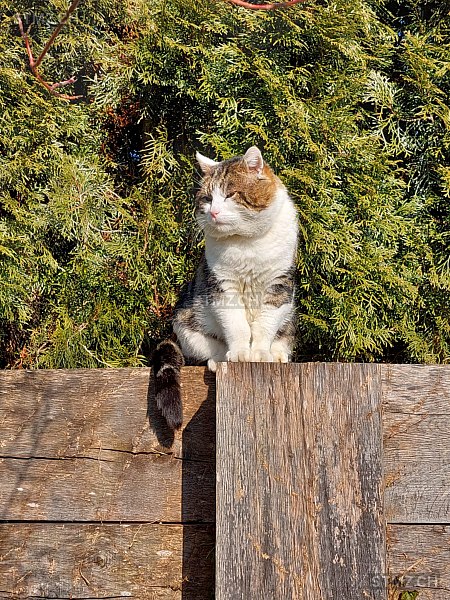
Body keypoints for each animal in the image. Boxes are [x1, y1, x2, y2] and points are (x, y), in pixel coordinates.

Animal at [153, 147, 298, 428]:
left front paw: (261, 353)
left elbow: (265, 325)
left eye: (230, 194)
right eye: (208, 199)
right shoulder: (222, 288)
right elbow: (236, 325)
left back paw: (277, 355)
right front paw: (241, 353)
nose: (214, 212)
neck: (247, 244)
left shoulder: (278, 286)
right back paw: (219, 359)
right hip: (186, 323)